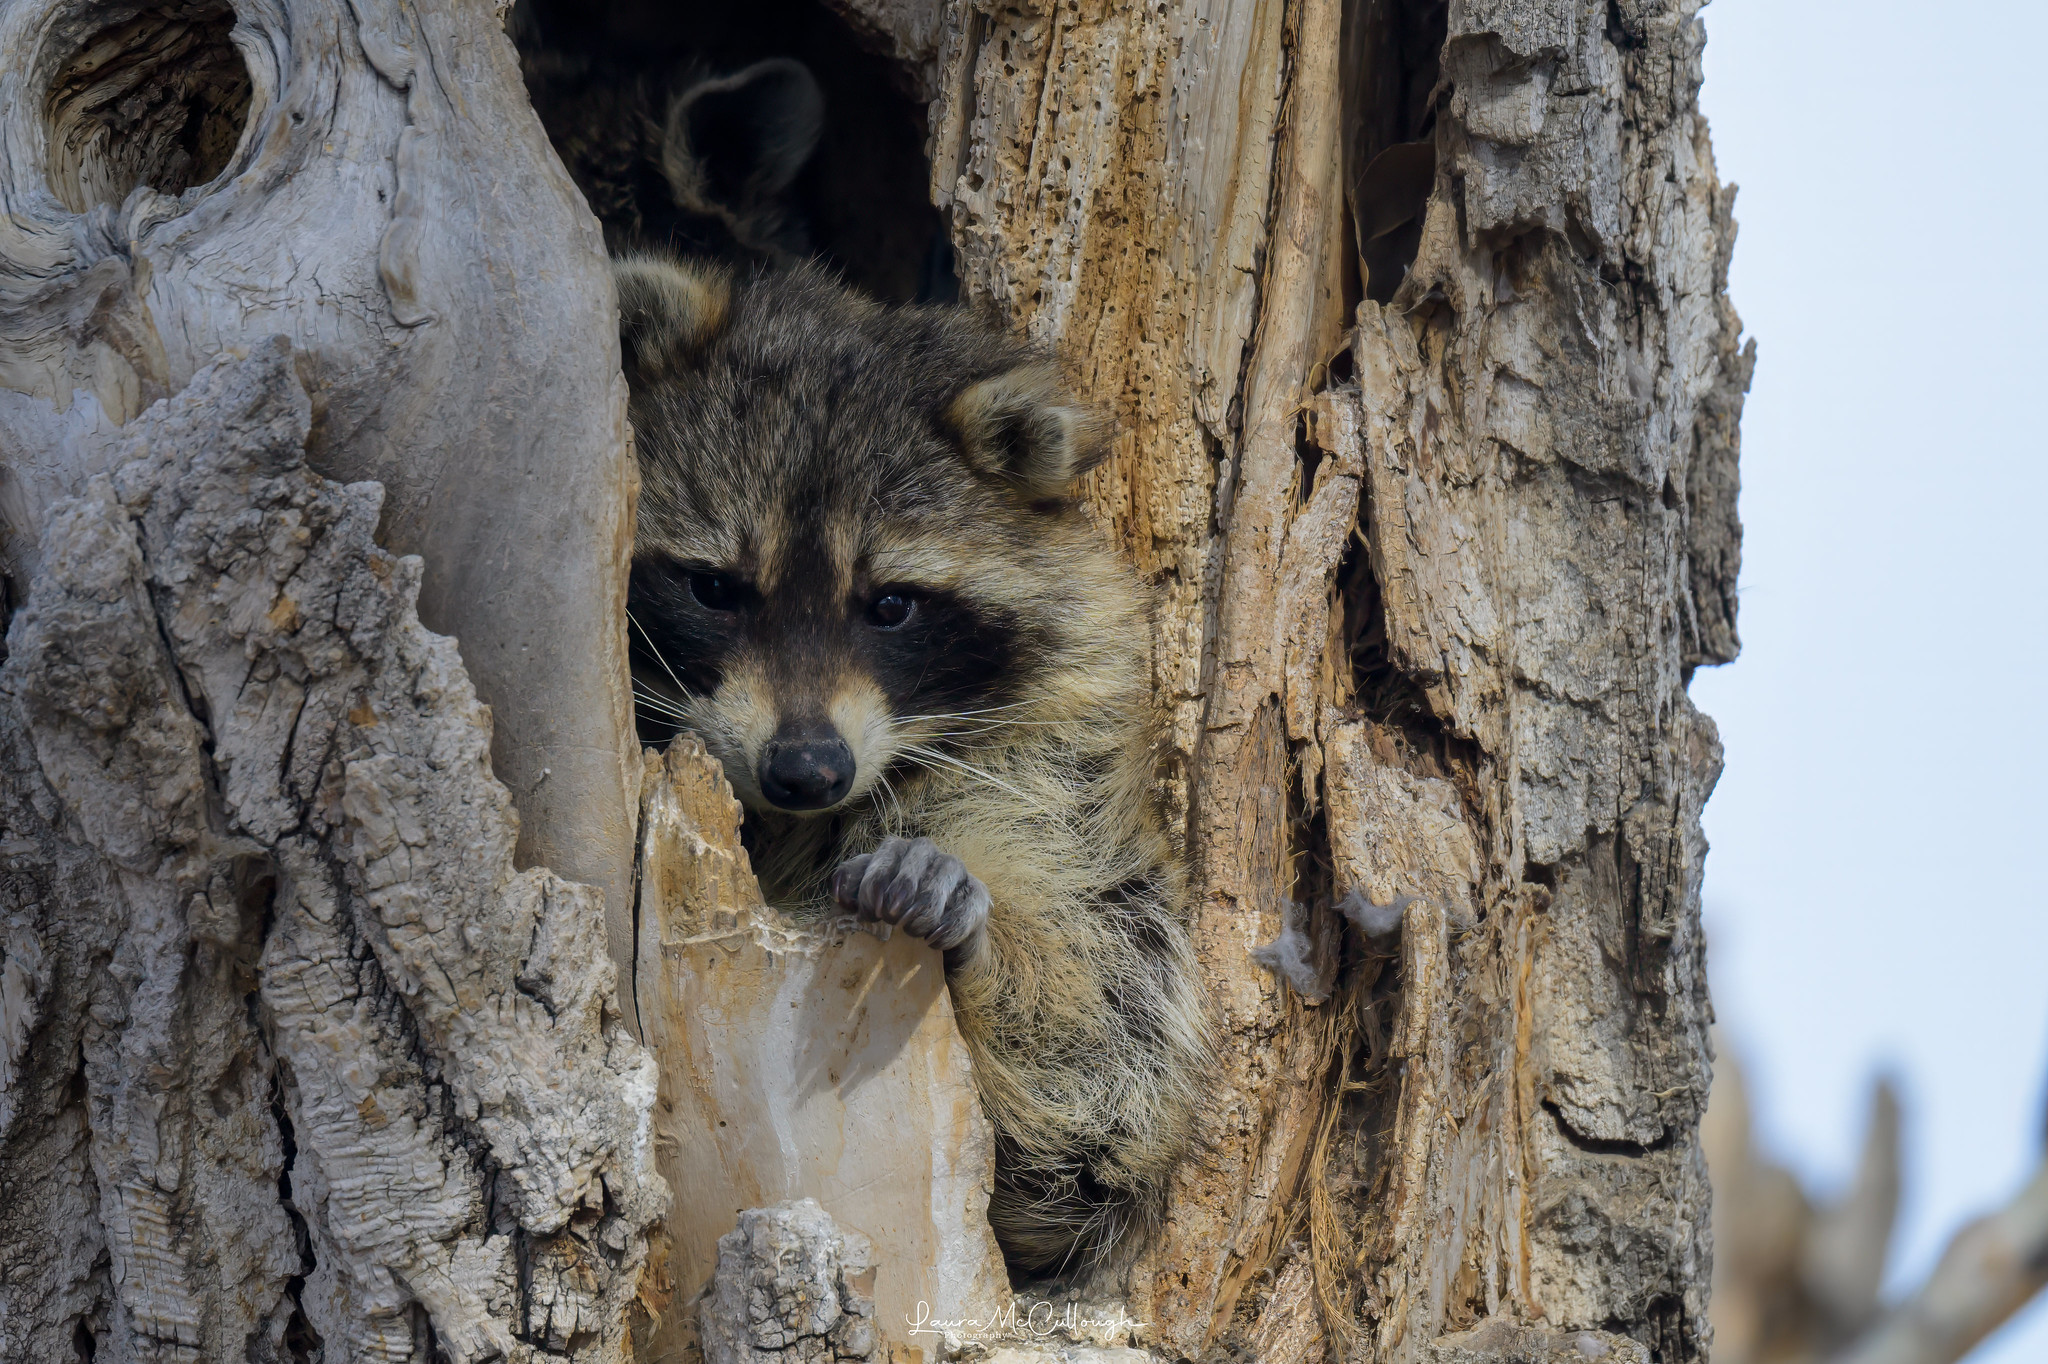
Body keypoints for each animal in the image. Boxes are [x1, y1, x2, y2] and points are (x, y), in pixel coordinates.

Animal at [616, 254, 1212, 1276]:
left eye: (891, 605)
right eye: (714, 589)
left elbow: (1100, 1091)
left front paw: (973, 916)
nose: (806, 767)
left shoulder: (1059, 774)